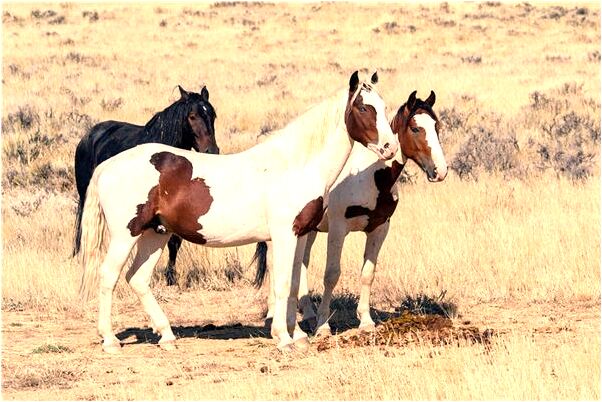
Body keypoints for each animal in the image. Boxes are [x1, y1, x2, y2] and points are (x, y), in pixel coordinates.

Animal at [72, 86, 218, 286]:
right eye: (192, 116)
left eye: (213, 115)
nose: (212, 150)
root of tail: (88, 136)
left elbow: (175, 242)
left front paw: (171, 278)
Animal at [260, 90, 448, 336]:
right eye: (416, 128)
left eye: (436, 126)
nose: (440, 171)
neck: (370, 176)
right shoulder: (338, 229)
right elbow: (331, 275)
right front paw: (323, 325)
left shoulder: (380, 228)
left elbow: (368, 274)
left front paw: (366, 321)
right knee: (275, 265)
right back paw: (274, 316)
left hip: (308, 230)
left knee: (301, 264)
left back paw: (307, 315)